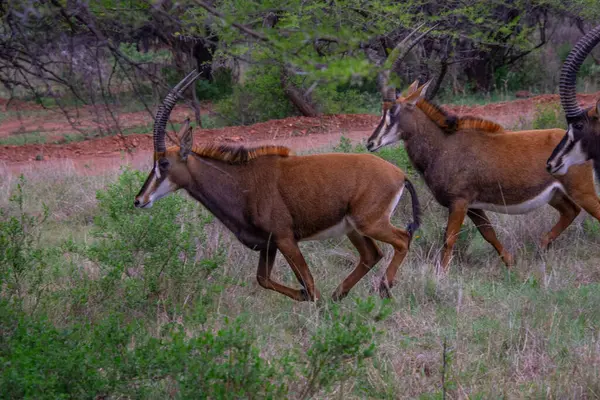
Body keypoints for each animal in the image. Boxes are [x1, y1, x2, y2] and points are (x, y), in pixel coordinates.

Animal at [135, 70, 422, 302]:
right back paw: (338, 295)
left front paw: (313, 300)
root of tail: (399, 174)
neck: (241, 182)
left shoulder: (285, 239)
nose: (139, 200)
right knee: (372, 255)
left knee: (402, 239)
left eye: (164, 163)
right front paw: (304, 295)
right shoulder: (268, 245)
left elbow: (309, 283)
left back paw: (383, 288)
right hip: (353, 228)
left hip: (370, 223)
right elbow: (263, 279)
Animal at [366, 79, 600, 274]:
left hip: (582, 191)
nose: (370, 143)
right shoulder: (473, 206)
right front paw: (511, 263)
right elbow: (489, 234)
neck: (444, 146)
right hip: (555, 195)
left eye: (393, 110)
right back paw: (541, 247)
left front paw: (441, 275)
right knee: (570, 211)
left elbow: (449, 238)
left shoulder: (459, 202)